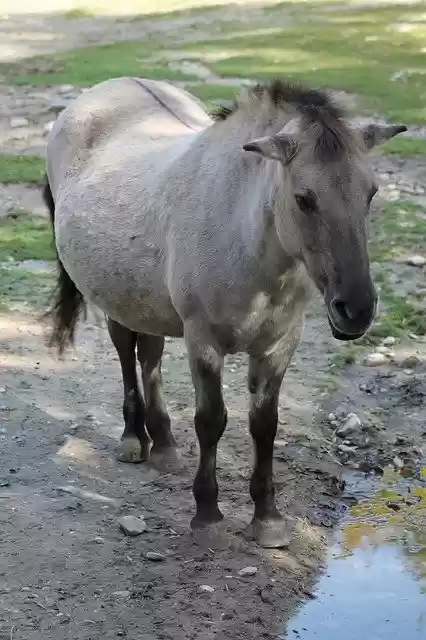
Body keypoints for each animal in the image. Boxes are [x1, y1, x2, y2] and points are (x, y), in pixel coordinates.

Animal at [43, 76, 406, 548]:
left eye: (371, 194)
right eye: (304, 199)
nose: (356, 310)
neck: (243, 234)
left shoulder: (279, 344)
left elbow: (264, 425)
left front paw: (267, 519)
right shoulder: (203, 341)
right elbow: (211, 421)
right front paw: (208, 515)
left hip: (146, 301)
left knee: (150, 356)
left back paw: (163, 444)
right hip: (116, 300)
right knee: (127, 353)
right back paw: (133, 439)